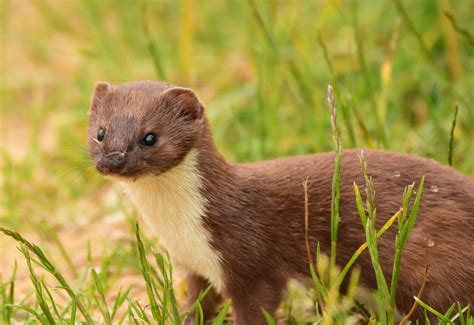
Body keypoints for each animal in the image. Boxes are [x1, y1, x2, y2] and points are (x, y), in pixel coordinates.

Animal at [87, 80, 472, 322]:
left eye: (150, 137)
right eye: (101, 132)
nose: (113, 160)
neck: (180, 229)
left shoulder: (250, 258)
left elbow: (259, 305)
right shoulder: (196, 268)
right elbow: (196, 306)